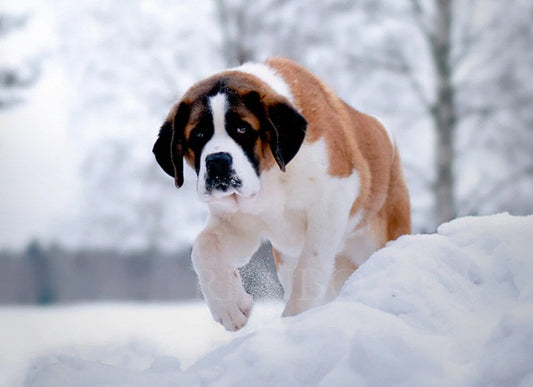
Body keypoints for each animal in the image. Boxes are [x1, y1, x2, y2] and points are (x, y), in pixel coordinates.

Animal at [154, 56, 412, 330]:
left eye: (242, 129)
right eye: (199, 134)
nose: (217, 162)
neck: (272, 177)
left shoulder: (332, 200)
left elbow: (310, 267)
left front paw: (294, 317)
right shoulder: (237, 223)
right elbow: (203, 248)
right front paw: (230, 307)